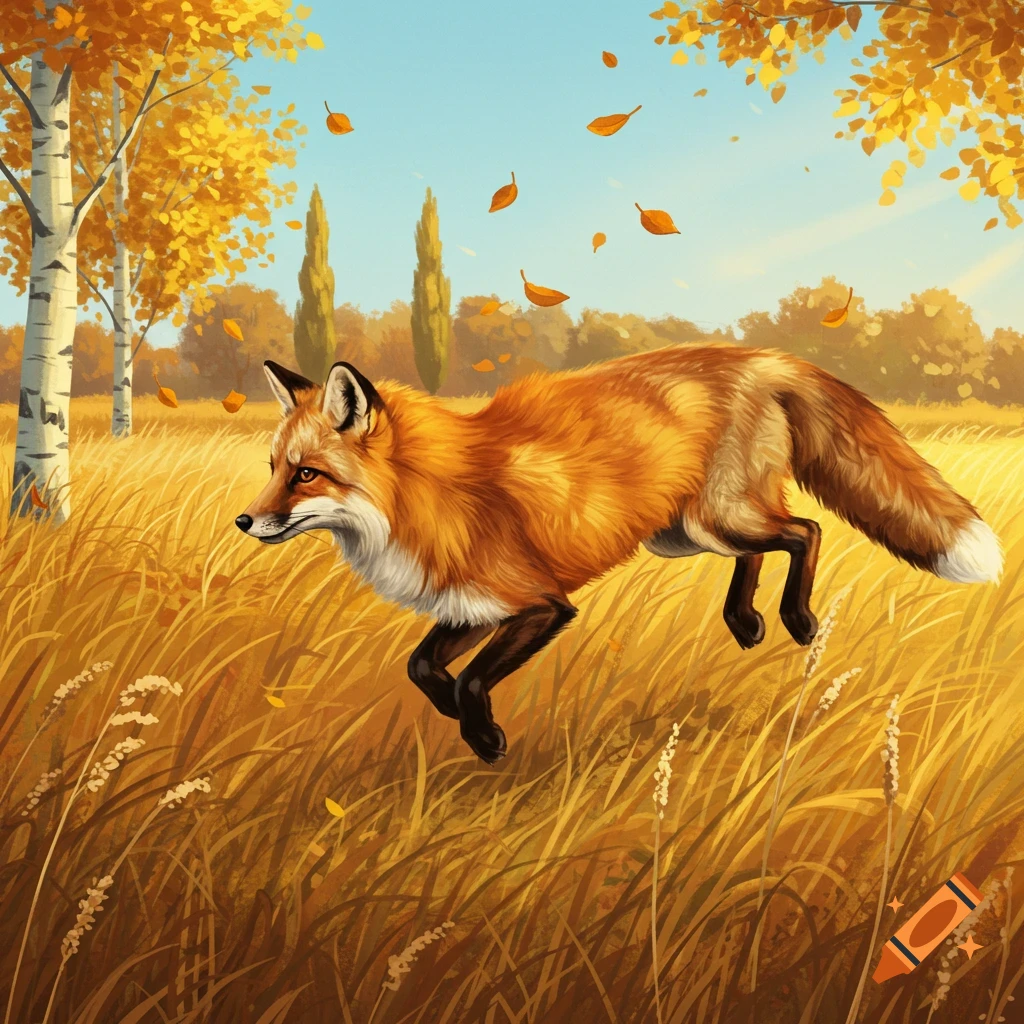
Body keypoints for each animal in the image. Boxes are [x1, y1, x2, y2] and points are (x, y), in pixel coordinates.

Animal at [237, 345, 1003, 764]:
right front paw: (461, 721)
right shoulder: (477, 604)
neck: (428, 492)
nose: (245, 519)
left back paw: (796, 619)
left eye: (307, 475)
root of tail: (755, 356)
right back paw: (744, 621)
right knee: (769, 545)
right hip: (685, 532)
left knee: (805, 531)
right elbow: (423, 667)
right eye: (274, 467)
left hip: (716, 517)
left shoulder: (540, 604)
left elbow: (473, 679)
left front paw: (484, 737)